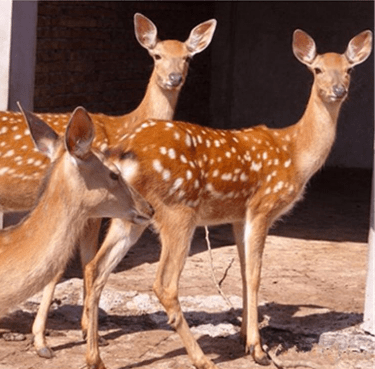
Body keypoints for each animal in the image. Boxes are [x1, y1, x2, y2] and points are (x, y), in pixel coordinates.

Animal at [75, 29, 372, 368]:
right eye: (318, 69)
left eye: (349, 70)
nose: (338, 90)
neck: (295, 155)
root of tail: (123, 151)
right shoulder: (262, 206)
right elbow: (255, 275)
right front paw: (258, 349)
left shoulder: (237, 216)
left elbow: (243, 273)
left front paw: (244, 338)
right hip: (178, 209)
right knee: (164, 284)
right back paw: (201, 358)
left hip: (130, 215)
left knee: (96, 268)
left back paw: (95, 357)